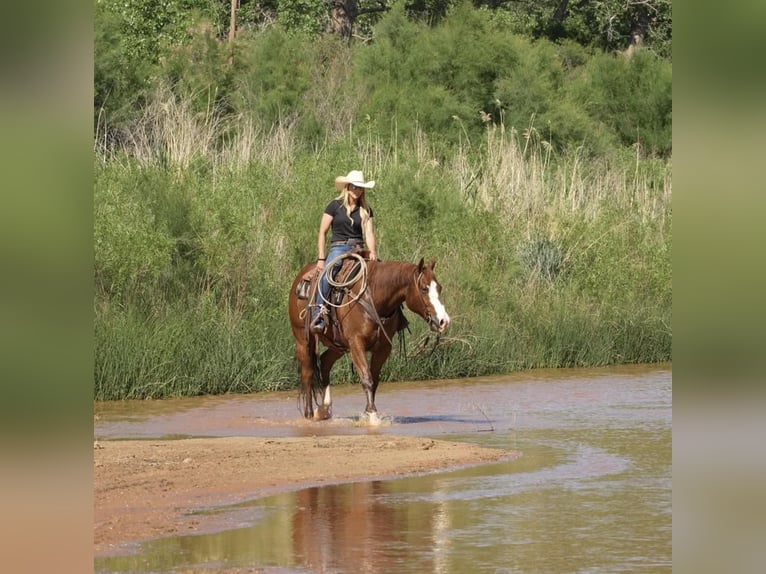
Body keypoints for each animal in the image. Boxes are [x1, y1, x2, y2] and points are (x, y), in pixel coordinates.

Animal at [292, 256, 452, 424]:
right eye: (424, 288)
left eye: (439, 288)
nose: (443, 321)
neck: (373, 298)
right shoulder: (356, 343)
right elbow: (366, 378)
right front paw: (373, 416)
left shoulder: (383, 348)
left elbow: (374, 379)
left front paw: (368, 413)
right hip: (303, 340)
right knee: (307, 374)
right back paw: (309, 415)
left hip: (338, 345)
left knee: (325, 362)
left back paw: (324, 409)